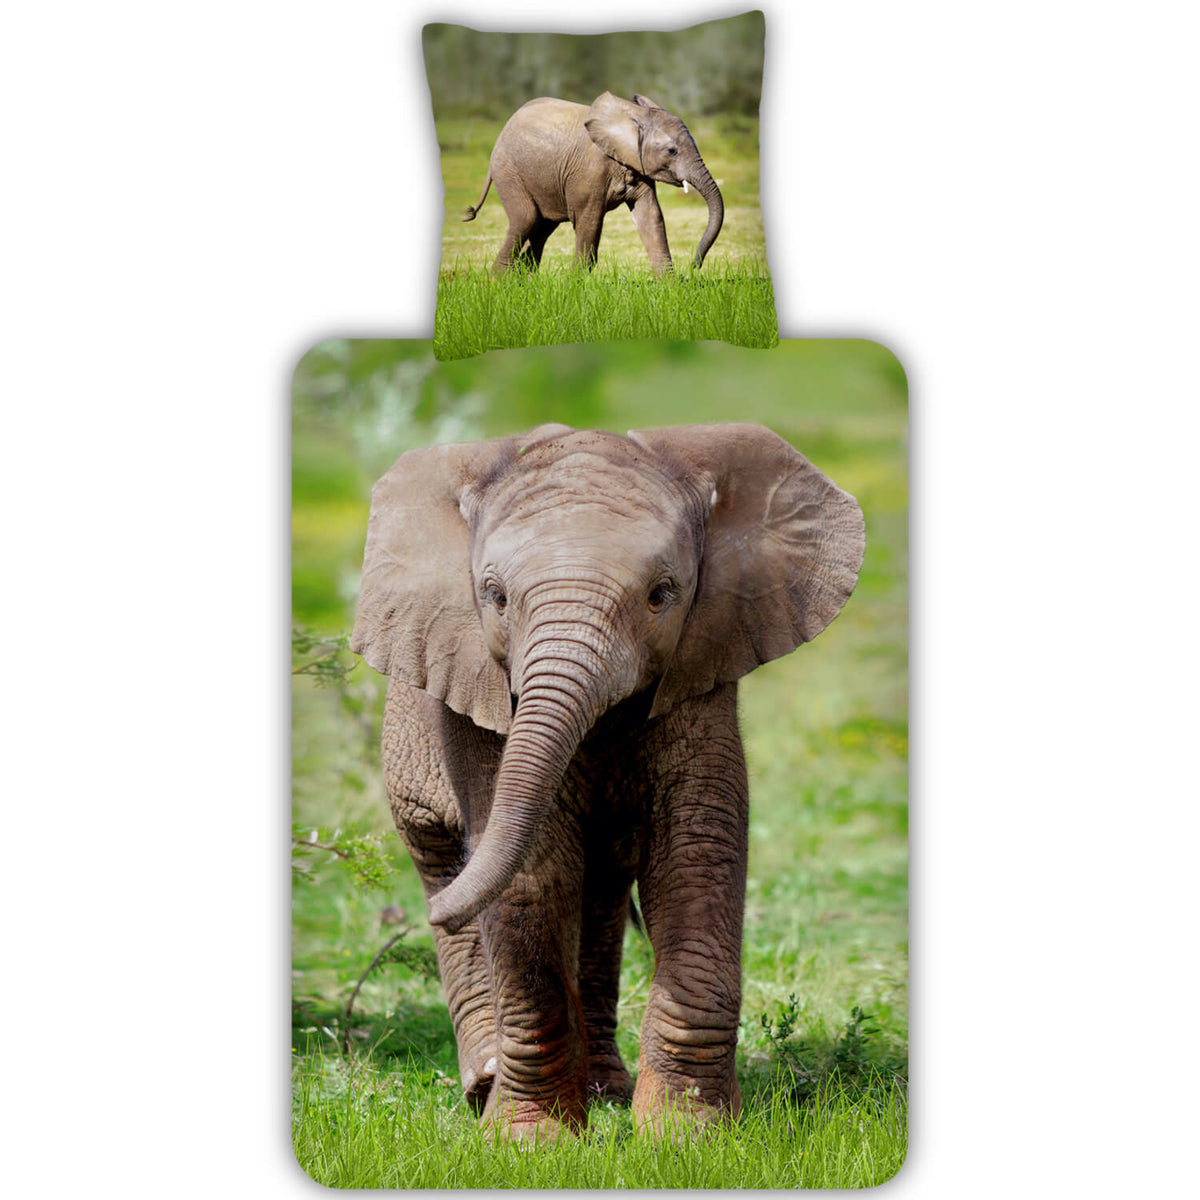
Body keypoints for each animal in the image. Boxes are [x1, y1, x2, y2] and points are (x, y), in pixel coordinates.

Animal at [351, 423, 864, 1141]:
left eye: (662, 594)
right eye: (495, 596)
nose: (406, 915)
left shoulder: (700, 666)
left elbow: (697, 846)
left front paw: (687, 1136)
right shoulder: (478, 697)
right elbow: (532, 868)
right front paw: (531, 1143)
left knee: (597, 890)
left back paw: (607, 1092)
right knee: (446, 856)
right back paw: (486, 1084)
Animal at [461, 93, 724, 275]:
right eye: (672, 151)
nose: (694, 265)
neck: (633, 115)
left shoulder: (636, 164)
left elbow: (651, 216)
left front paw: (671, 288)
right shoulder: (589, 172)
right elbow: (589, 221)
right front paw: (575, 290)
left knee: (541, 226)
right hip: (508, 171)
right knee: (525, 219)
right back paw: (498, 284)